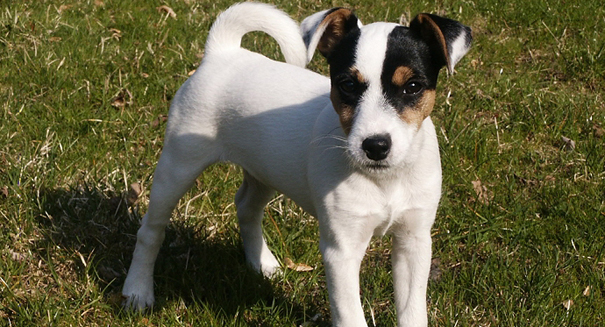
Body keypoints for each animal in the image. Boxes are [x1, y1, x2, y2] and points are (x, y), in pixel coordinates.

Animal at [121, 3, 472, 327]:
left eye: (413, 87)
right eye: (347, 85)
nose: (375, 146)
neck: (385, 181)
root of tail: (224, 53)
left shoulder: (414, 241)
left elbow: (413, 312)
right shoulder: (341, 250)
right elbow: (350, 315)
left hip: (264, 169)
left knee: (246, 207)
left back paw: (262, 264)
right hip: (178, 164)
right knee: (150, 230)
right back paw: (137, 290)